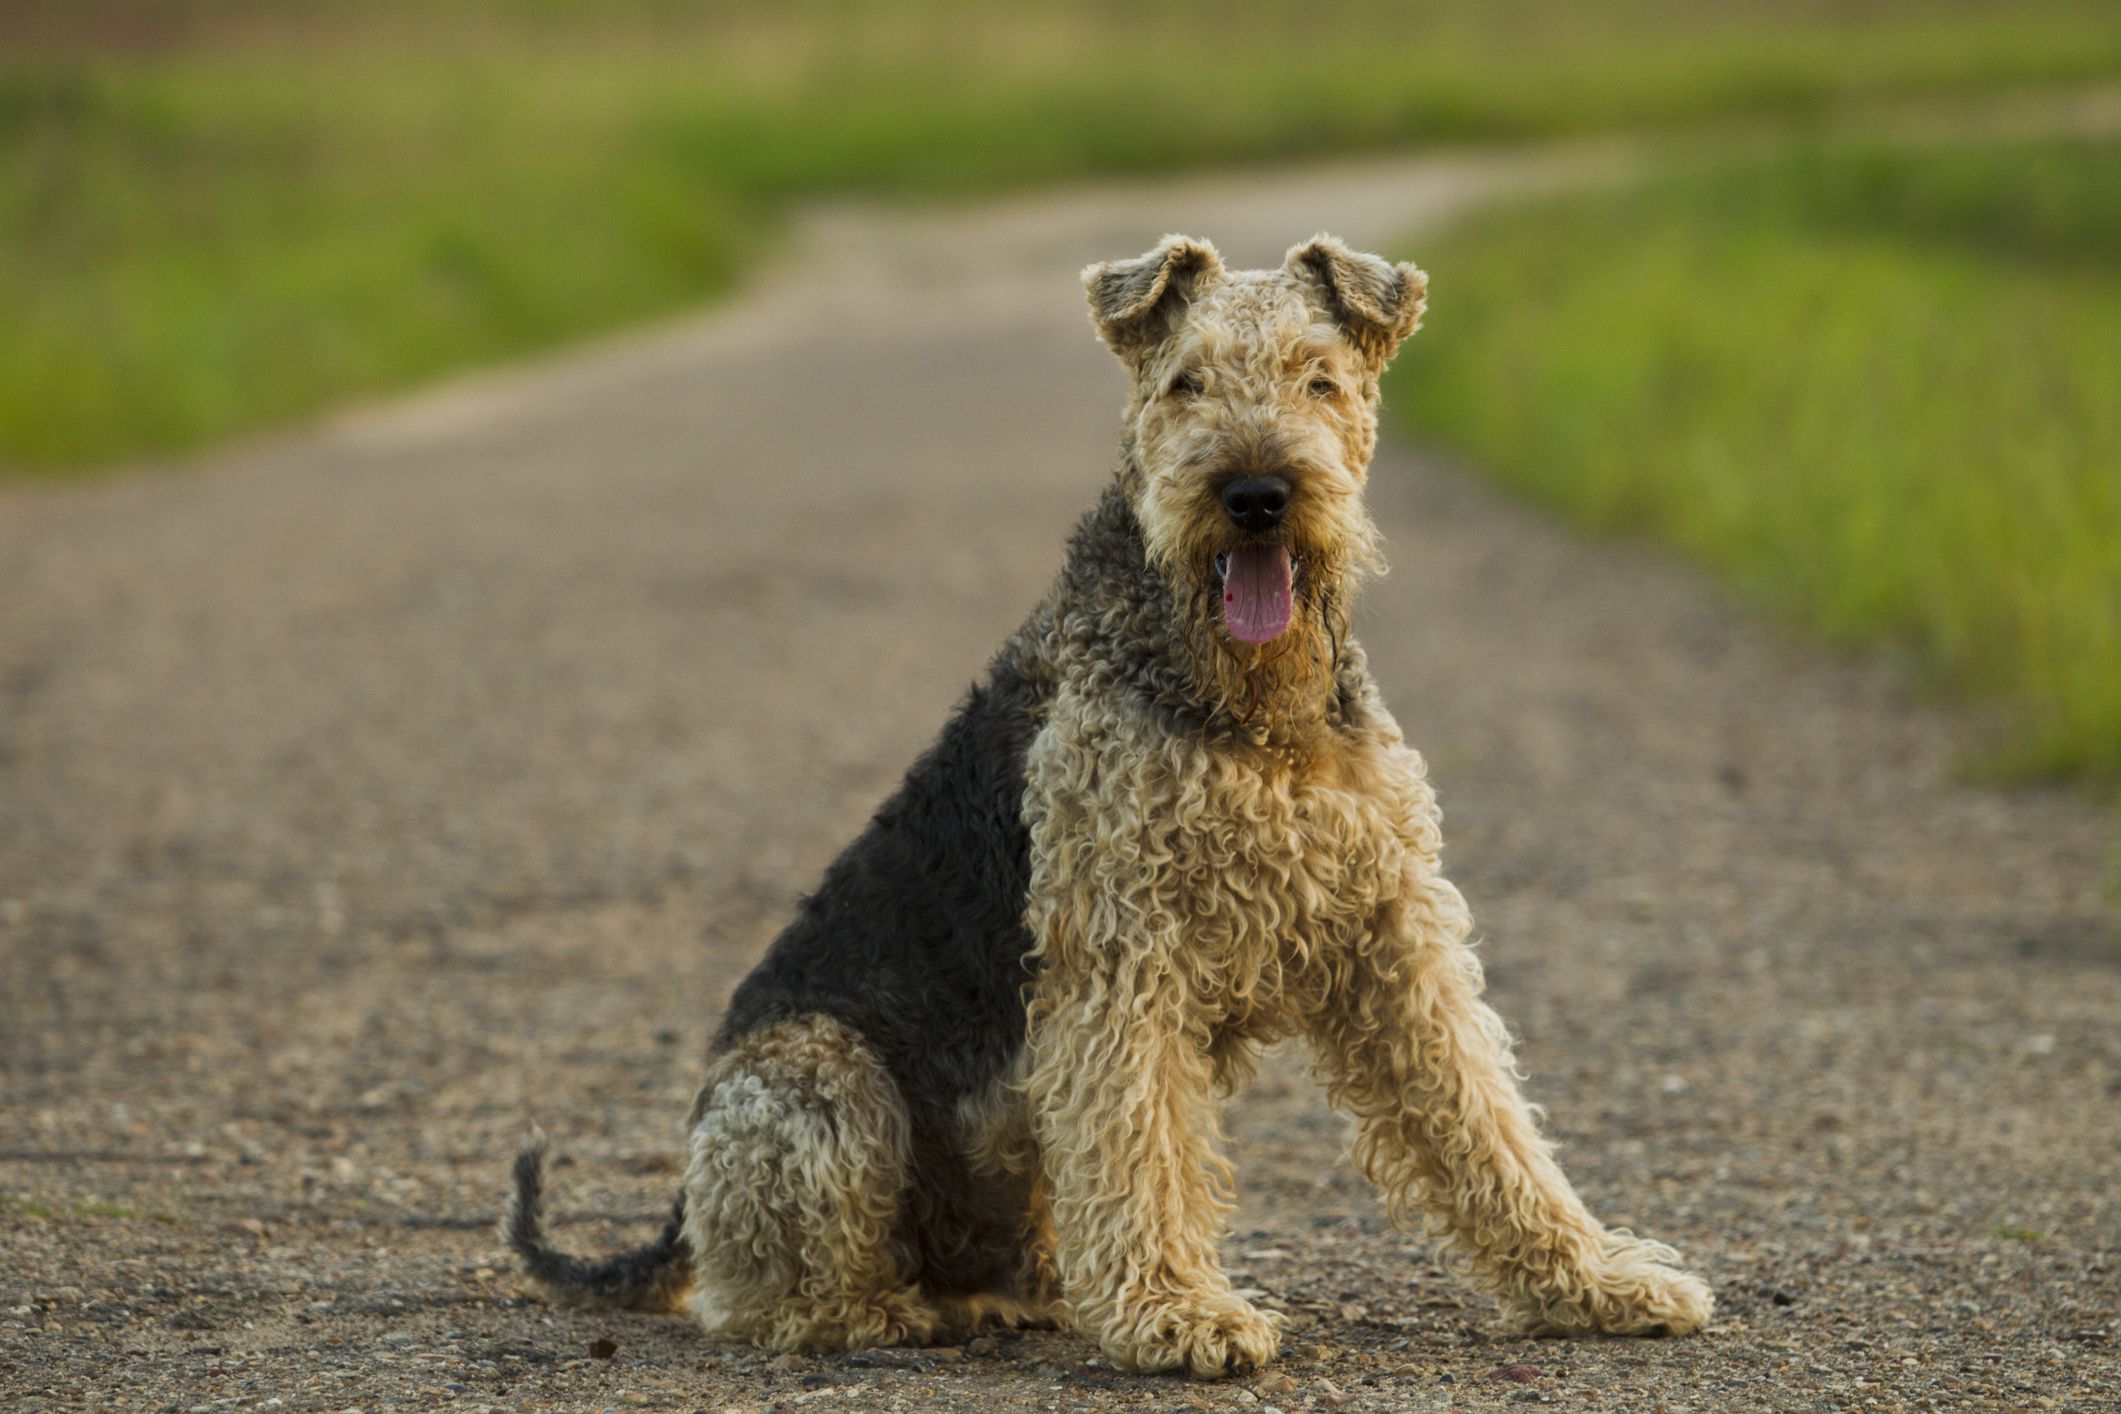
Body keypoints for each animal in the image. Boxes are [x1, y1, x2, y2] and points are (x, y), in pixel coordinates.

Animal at [504, 235, 1713, 1382]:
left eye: (1319, 377)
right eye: (1184, 381)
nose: (1256, 495)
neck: (1251, 710)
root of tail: (679, 1205)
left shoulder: (1391, 937)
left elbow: (1486, 1124)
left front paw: (1597, 1282)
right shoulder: (1125, 953)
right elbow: (1143, 1150)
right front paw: (1180, 1317)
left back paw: (1012, 1296)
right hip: (817, 1074)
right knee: (761, 1297)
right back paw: (892, 1314)